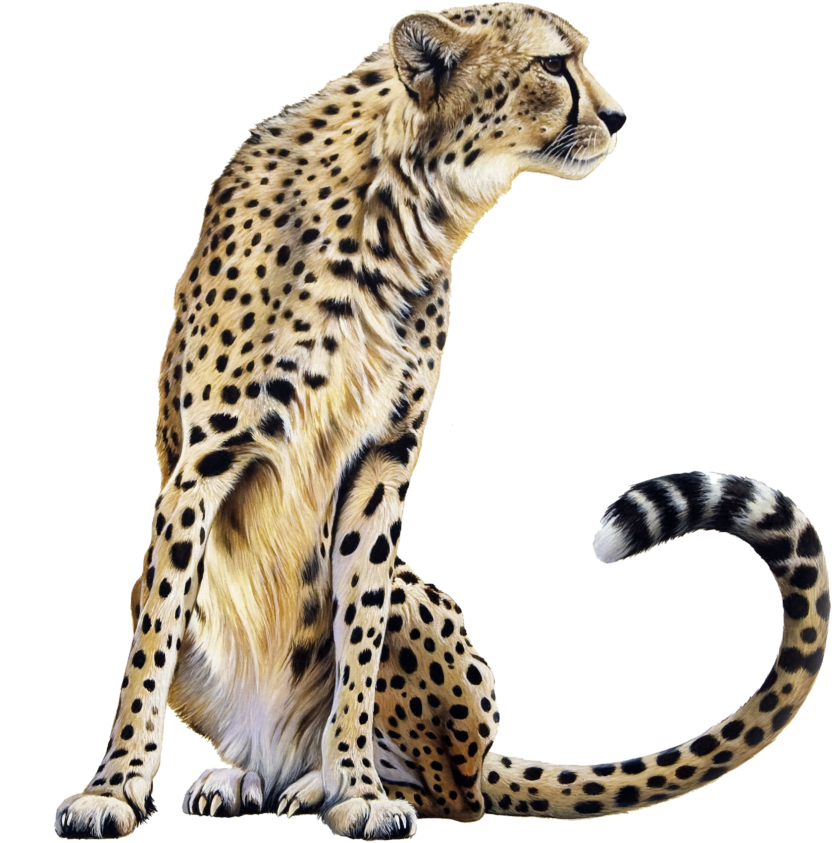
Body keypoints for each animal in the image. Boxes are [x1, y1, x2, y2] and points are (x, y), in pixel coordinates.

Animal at [55, 2, 828, 840]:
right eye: (554, 65)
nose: (620, 116)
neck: (397, 211)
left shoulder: (382, 463)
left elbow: (357, 636)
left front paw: (357, 786)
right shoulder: (202, 464)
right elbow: (152, 643)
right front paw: (114, 786)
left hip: (425, 626)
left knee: (461, 792)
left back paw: (318, 784)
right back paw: (245, 778)